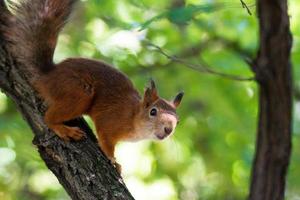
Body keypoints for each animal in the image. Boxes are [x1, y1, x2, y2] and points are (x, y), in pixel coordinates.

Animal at [2, 0, 184, 172]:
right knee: (48, 118)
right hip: (79, 93)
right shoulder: (108, 123)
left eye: (178, 120)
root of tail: (47, 75)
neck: (132, 117)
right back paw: (64, 130)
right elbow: (106, 143)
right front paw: (114, 161)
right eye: (153, 112)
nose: (168, 129)